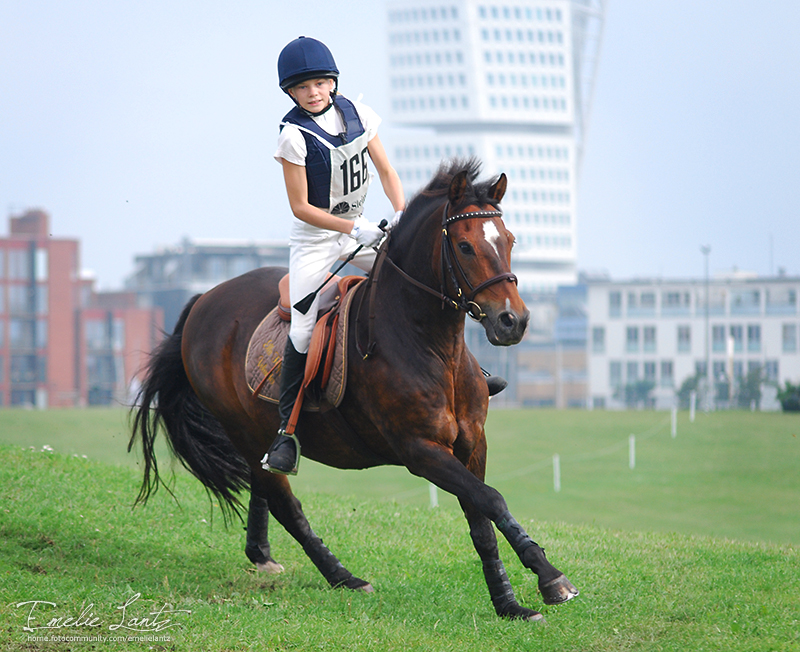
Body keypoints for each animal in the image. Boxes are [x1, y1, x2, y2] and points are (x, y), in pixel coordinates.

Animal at [128, 159, 580, 620]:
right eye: (466, 246)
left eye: (509, 240)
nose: (514, 321)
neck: (430, 344)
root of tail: (204, 299)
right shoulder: (421, 451)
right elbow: (492, 499)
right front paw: (550, 577)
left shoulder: (473, 444)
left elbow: (482, 520)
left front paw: (509, 603)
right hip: (243, 429)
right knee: (287, 505)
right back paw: (343, 577)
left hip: (254, 434)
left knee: (263, 483)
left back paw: (261, 553)